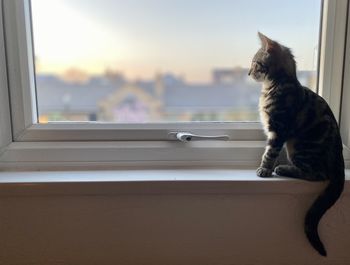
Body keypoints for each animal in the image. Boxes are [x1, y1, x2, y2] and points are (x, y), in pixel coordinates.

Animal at [249, 31, 344, 256]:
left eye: (255, 63)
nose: (248, 73)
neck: (278, 84)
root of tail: (339, 156)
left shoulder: (278, 129)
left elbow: (270, 152)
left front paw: (265, 169)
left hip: (301, 147)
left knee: (317, 174)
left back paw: (284, 169)